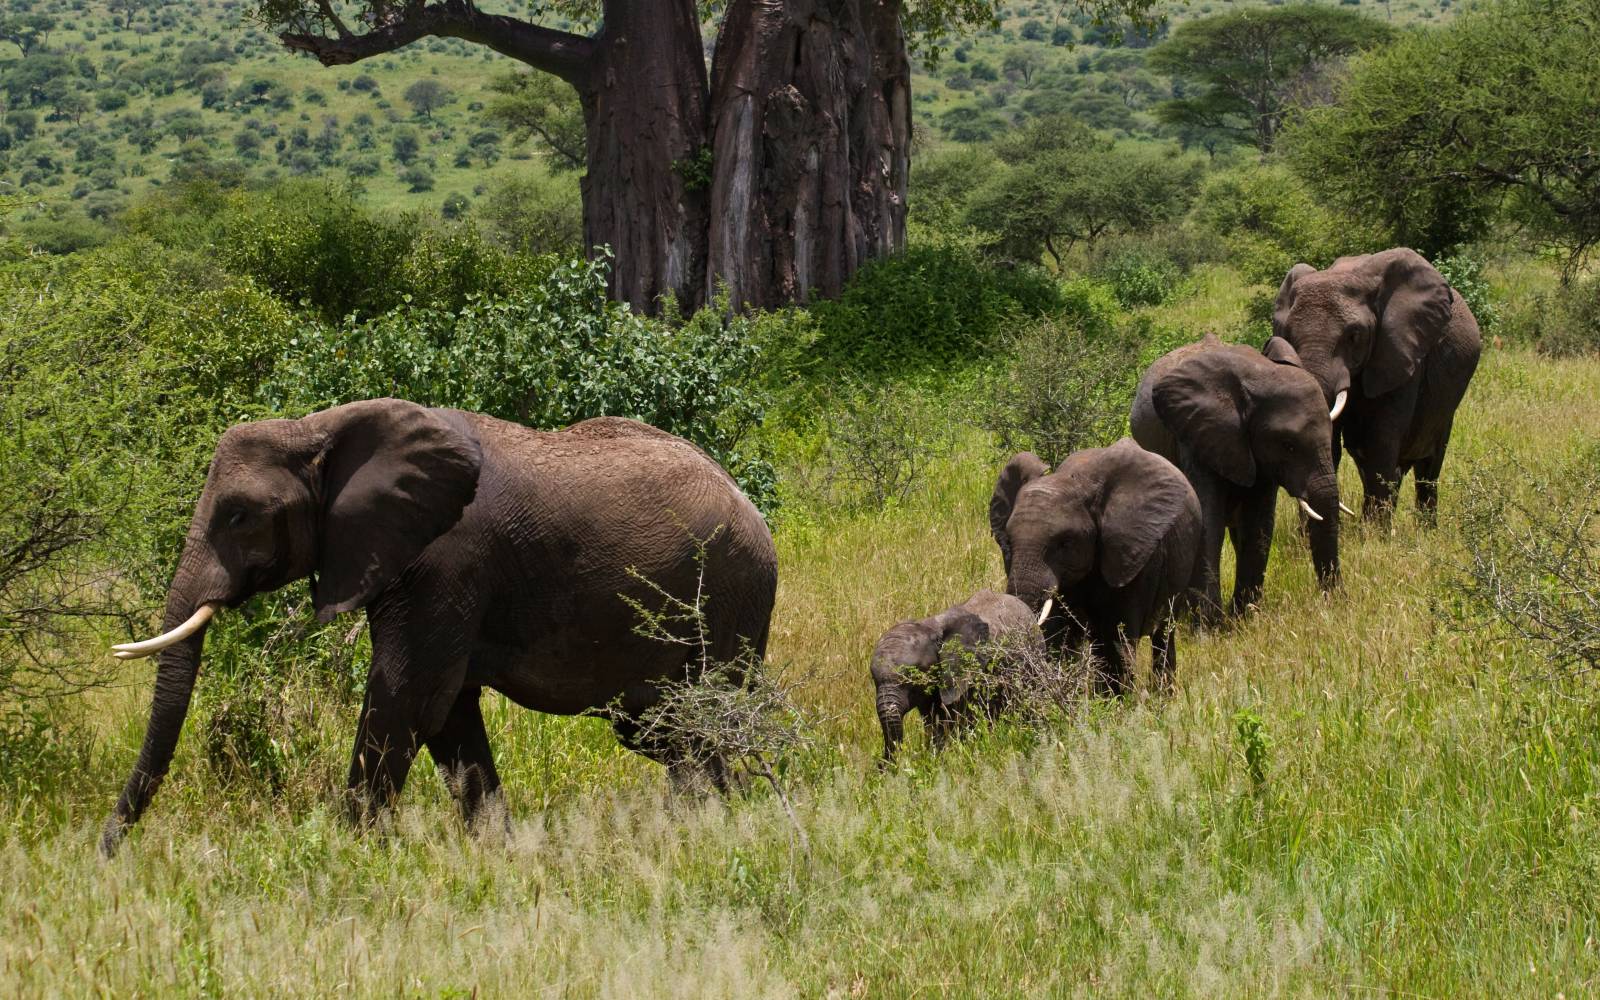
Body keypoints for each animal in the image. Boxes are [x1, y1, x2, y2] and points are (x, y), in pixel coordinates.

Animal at [98, 401, 774, 851]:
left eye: (239, 515)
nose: (107, 853)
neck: (319, 428)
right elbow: (448, 713)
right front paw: (500, 853)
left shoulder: (446, 561)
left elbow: (408, 695)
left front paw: (346, 856)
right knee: (661, 727)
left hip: (732, 593)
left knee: (699, 717)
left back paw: (712, 825)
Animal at [985, 435, 1203, 694]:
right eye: (1008, 540)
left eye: (1065, 543)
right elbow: (1059, 635)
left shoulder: (1133, 554)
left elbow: (1116, 636)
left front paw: (1117, 701)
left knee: (1163, 633)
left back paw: (1162, 694)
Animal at [1132, 336, 1344, 617]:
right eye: (1288, 445)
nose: (1335, 603)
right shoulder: (1197, 438)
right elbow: (1208, 522)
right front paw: (1211, 625)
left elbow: (1258, 524)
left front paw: (1244, 617)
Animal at [1273, 248, 1484, 521]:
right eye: (1288, 333)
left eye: (1354, 336)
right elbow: (1331, 446)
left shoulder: (1400, 354)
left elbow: (1380, 444)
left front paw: (1373, 532)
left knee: (1428, 469)